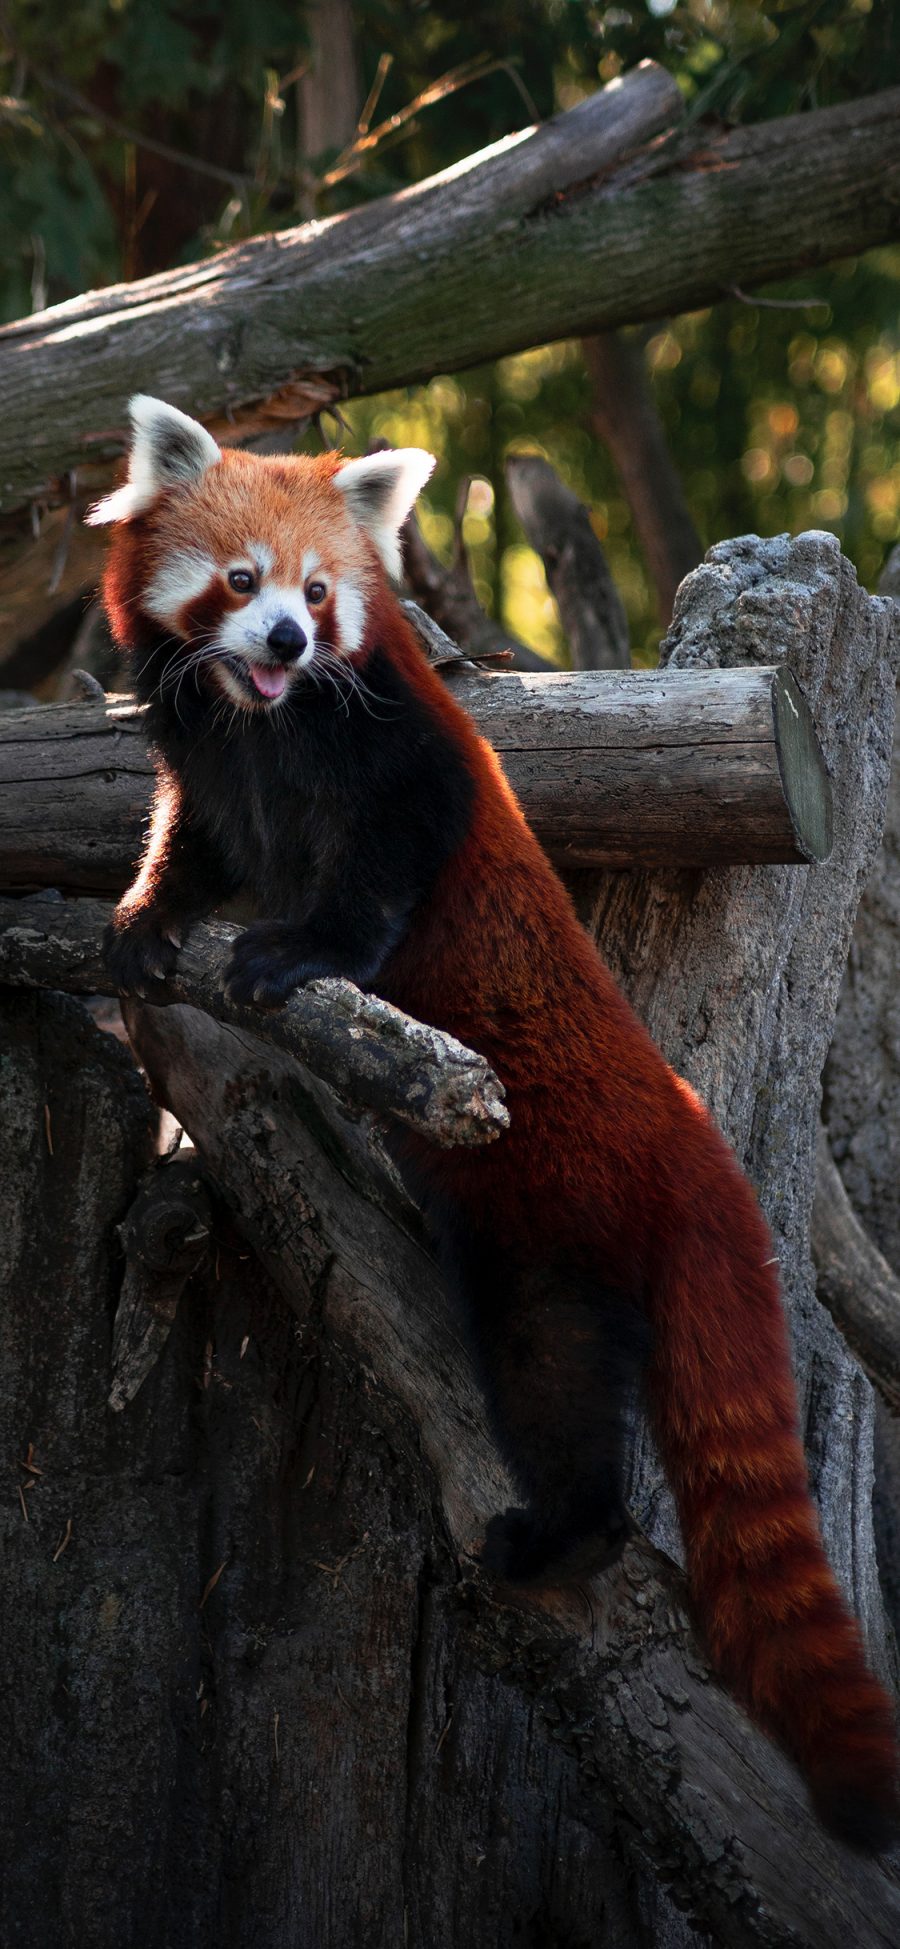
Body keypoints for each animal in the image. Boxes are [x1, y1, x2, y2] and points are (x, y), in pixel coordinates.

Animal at [91, 399, 900, 1855]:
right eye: (242, 582)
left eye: (319, 593)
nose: (288, 643)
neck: (259, 724)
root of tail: (696, 1148)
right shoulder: (211, 770)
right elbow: (194, 850)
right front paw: (144, 921)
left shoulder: (404, 760)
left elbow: (379, 874)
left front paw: (296, 953)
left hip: (555, 1218)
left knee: (550, 1383)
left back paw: (563, 1536)